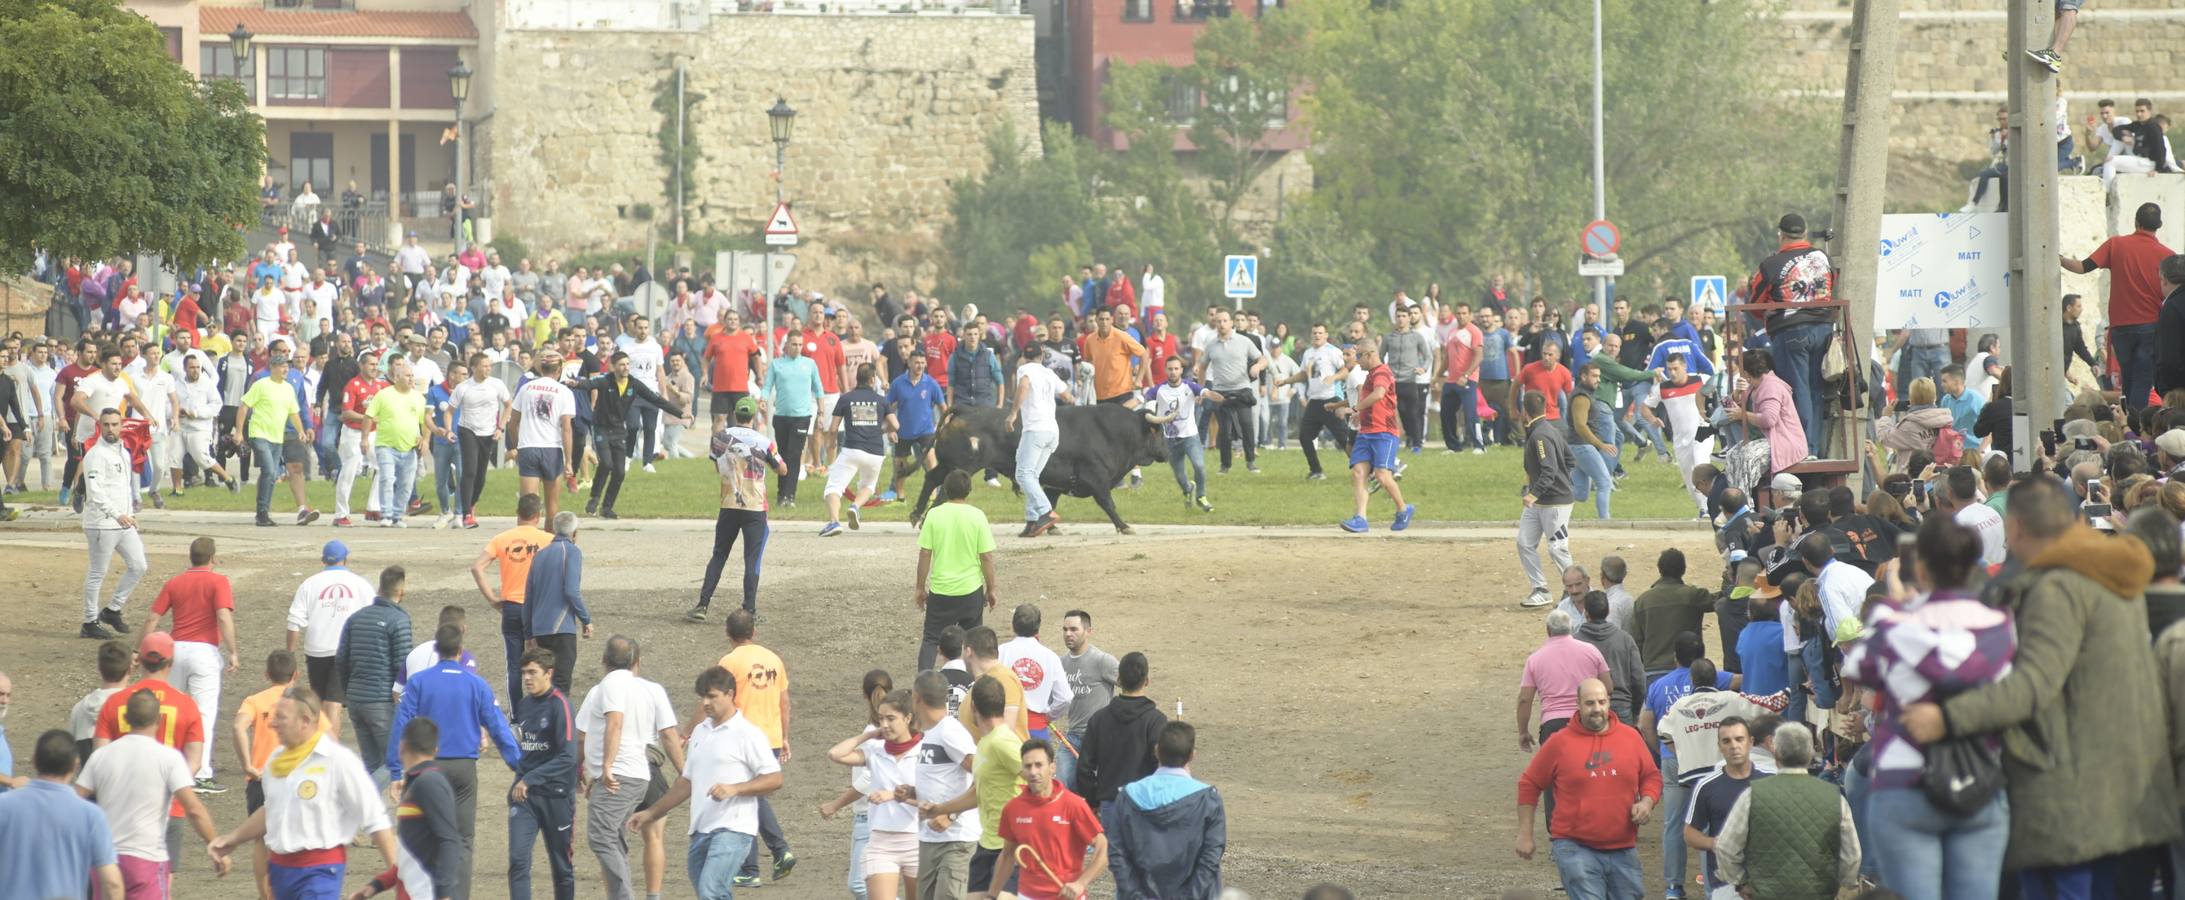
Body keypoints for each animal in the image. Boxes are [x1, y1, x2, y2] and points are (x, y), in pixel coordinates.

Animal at [913, 401, 1171, 535]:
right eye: (1159, 432)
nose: (1167, 453)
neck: (1112, 432)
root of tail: (966, 410)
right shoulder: (1096, 478)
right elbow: (1108, 503)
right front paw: (1124, 526)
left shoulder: (1055, 483)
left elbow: (1048, 502)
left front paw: (1046, 526)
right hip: (962, 466)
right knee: (943, 492)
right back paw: (926, 521)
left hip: (948, 463)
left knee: (931, 478)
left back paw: (916, 515)